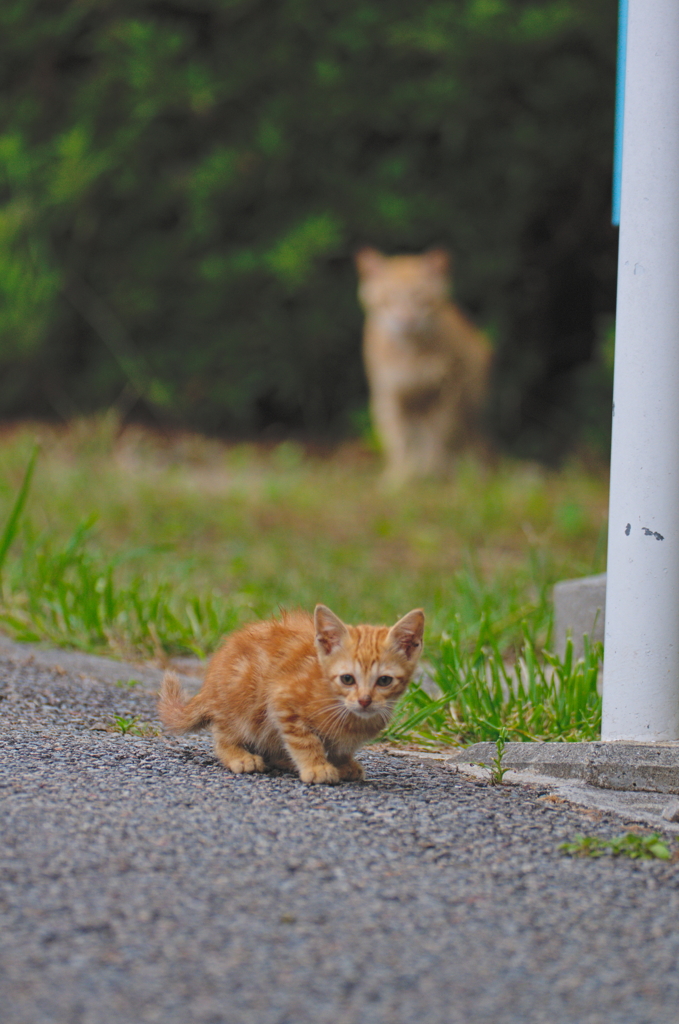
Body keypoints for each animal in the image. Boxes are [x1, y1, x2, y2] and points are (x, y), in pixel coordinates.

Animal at [159, 602, 426, 786]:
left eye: (384, 681)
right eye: (347, 679)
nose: (364, 700)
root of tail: (209, 684)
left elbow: (341, 747)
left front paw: (342, 762)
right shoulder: (281, 699)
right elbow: (305, 740)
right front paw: (316, 767)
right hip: (241, 699)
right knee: (224, 734)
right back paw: (239, 756)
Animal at [356, 245, 493, 481]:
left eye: (419, 297)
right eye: (389, 297)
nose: (406, 320)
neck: (409, 353)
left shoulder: (447, 390)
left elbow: (439, 434)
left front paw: (432, 473)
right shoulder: (388, 394)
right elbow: (397, 439)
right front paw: (399, 477)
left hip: (474, 399)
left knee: (473, 441)